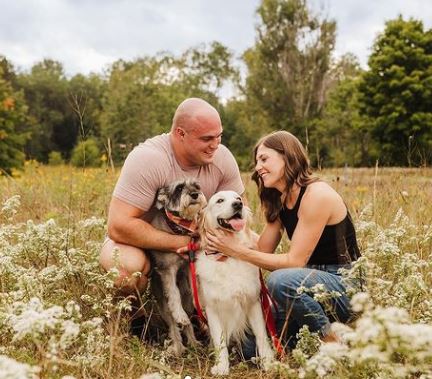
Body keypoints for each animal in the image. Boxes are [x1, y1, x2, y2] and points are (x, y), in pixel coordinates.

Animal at [148, 178, 206, 356]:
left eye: (197, 185)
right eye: (179, 188)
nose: (195, 194)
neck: (180, 228)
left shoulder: (189, 265)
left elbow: (195, 288)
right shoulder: (167, 270)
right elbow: (174, 295)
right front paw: (179, 314)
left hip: (186, 300)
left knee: (188, 322)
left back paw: (194, 343)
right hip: (163, 305)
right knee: (173, 325)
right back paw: (178, 348)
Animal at [196, 191, 274, 376]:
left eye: (238, 198)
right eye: (220, 200)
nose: (238, 205)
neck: (229, 257)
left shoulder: (254, 302)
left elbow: (261, 336)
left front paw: (268, 362)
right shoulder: (212, 308)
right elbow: (220, 342)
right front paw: (222, 366)